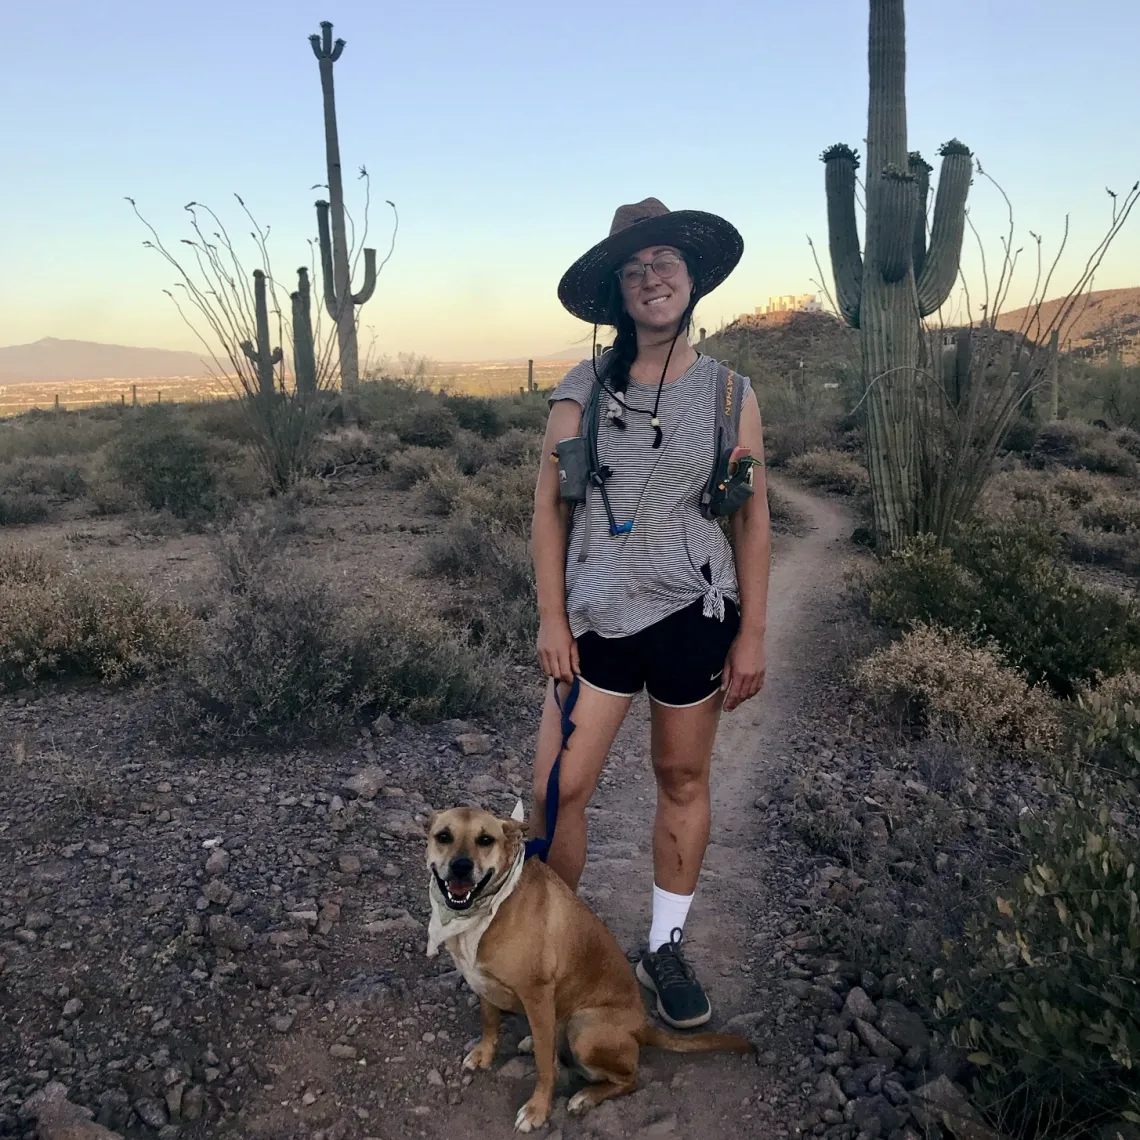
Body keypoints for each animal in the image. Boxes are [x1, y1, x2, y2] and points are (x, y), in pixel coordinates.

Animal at [424, 807, 752, 1135]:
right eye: (444, 836)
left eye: (485, 840)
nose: (461, 867)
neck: (491, 906)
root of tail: (643, 1027)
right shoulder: (482, 981)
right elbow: (490, 1021)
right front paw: (484, 1053)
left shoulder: (537, 993)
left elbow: (545, 1068)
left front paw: (537, 1110)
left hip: (583, 1026)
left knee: (630, 1078)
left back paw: (585, 1097)